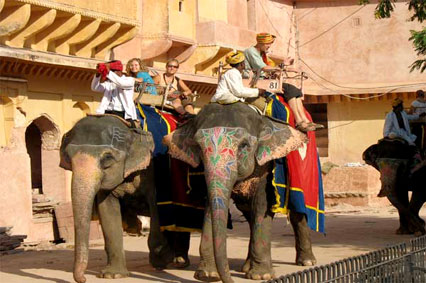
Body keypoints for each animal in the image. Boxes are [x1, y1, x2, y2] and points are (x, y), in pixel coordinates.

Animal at [59, 116, 174, 283]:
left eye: (107, 157)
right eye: (68, 156)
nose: (84, 279)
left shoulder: (150, 170)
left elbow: (155, 208)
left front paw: (160, 263)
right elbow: (107, 212)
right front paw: (113, 275)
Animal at [163, 102, 316, 283]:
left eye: (244, 146)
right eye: (198, 147)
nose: (230, 280)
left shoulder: (265, 166)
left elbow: (262, 204)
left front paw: (260, 276)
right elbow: (212, 206)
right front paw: (208, 275)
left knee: (296, 213)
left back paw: (307, 262)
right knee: (249, 215)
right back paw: (246, 267)